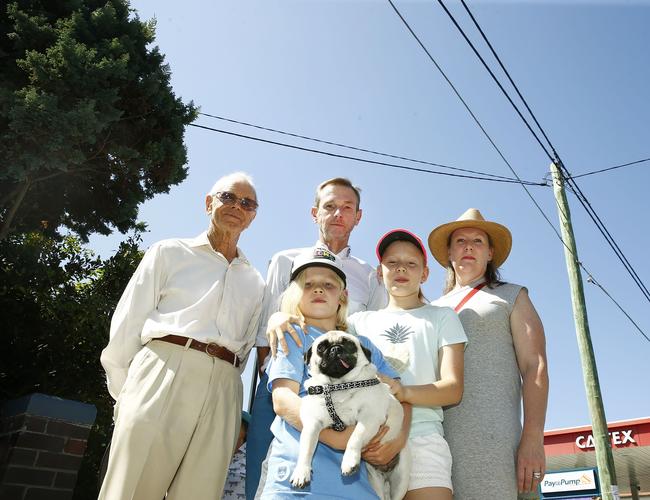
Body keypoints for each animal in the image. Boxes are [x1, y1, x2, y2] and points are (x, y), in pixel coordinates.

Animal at [288, 330, 404, 498]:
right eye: (321, 347)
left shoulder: (370, 417)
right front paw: (301, 471)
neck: (339, 386)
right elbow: (306, 448)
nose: (335, 349)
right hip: (375, 480)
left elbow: (355, 437)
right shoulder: (313, 423)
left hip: (401, 480)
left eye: (349, 344)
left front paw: (349, 461)